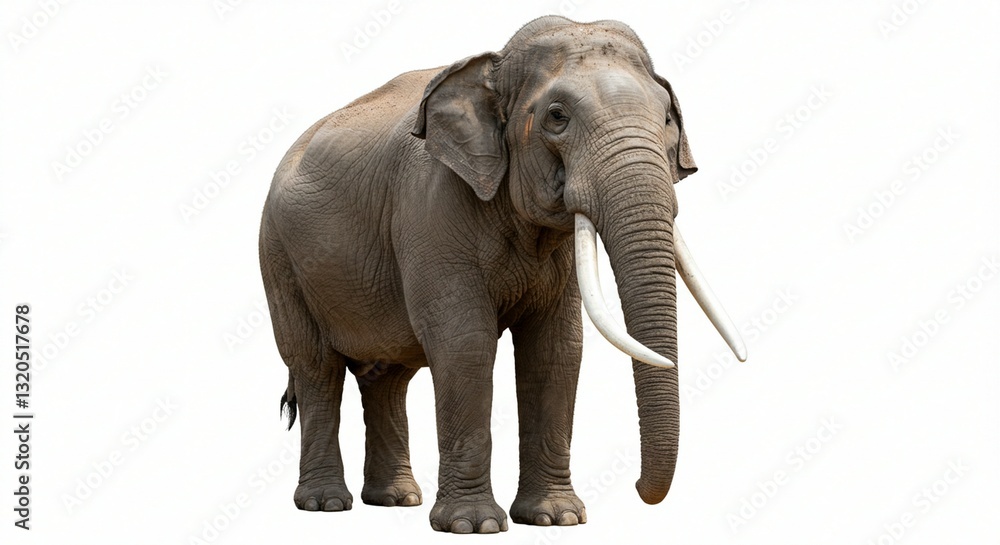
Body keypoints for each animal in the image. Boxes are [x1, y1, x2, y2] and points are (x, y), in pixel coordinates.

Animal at [258, 15, 745, 534]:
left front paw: (556, 519)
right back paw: (326, 504)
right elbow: (464, 342)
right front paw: (474, 526)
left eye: (668, 118)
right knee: (316, 368)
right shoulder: (430, 207)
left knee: (386, 377)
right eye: (557, 116)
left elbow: (556, 349)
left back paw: (395, 501)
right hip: (279, 257)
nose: (638, 488)